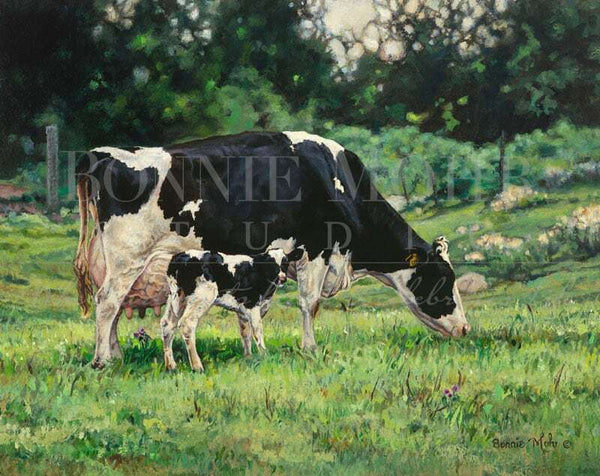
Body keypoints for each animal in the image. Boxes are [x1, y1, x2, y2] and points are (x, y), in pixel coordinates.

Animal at [162, 246, 303, 371]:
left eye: (285, 262)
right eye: (270, 263)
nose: (282, 278)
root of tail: (181, 256)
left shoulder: (242, 310)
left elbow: (245, 333)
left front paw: (248, 357)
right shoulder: (252, 304)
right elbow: (257, 331)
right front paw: (265, 355)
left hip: (177, 298)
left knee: (167, 325)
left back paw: (171, 365)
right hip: (201, 297)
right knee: (187, 324)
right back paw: (197, 366)